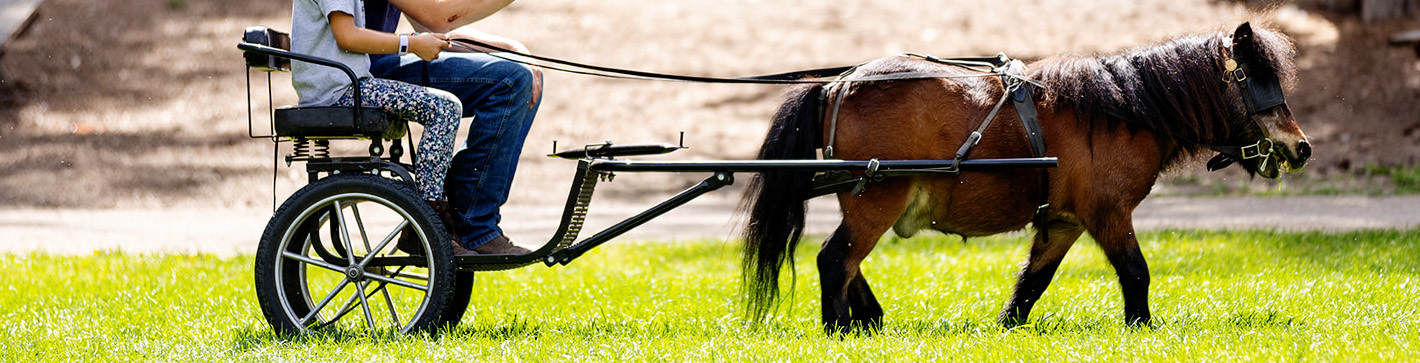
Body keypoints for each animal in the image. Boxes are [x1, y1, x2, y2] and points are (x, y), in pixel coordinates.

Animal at [744, 22, 1306, 333]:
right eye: (1256, 80)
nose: (1302, 147)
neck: (1118, 110)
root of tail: (836, 84)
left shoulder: (1063, 223)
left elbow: (1032, 284)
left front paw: (1007, 328)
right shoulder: (1108, 213)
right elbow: (1136, 272)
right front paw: (1141, 329)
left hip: (868, 202)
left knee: (847, 264)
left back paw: (869, 322)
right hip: (877, 199)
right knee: (835, 260)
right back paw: (837, 329)